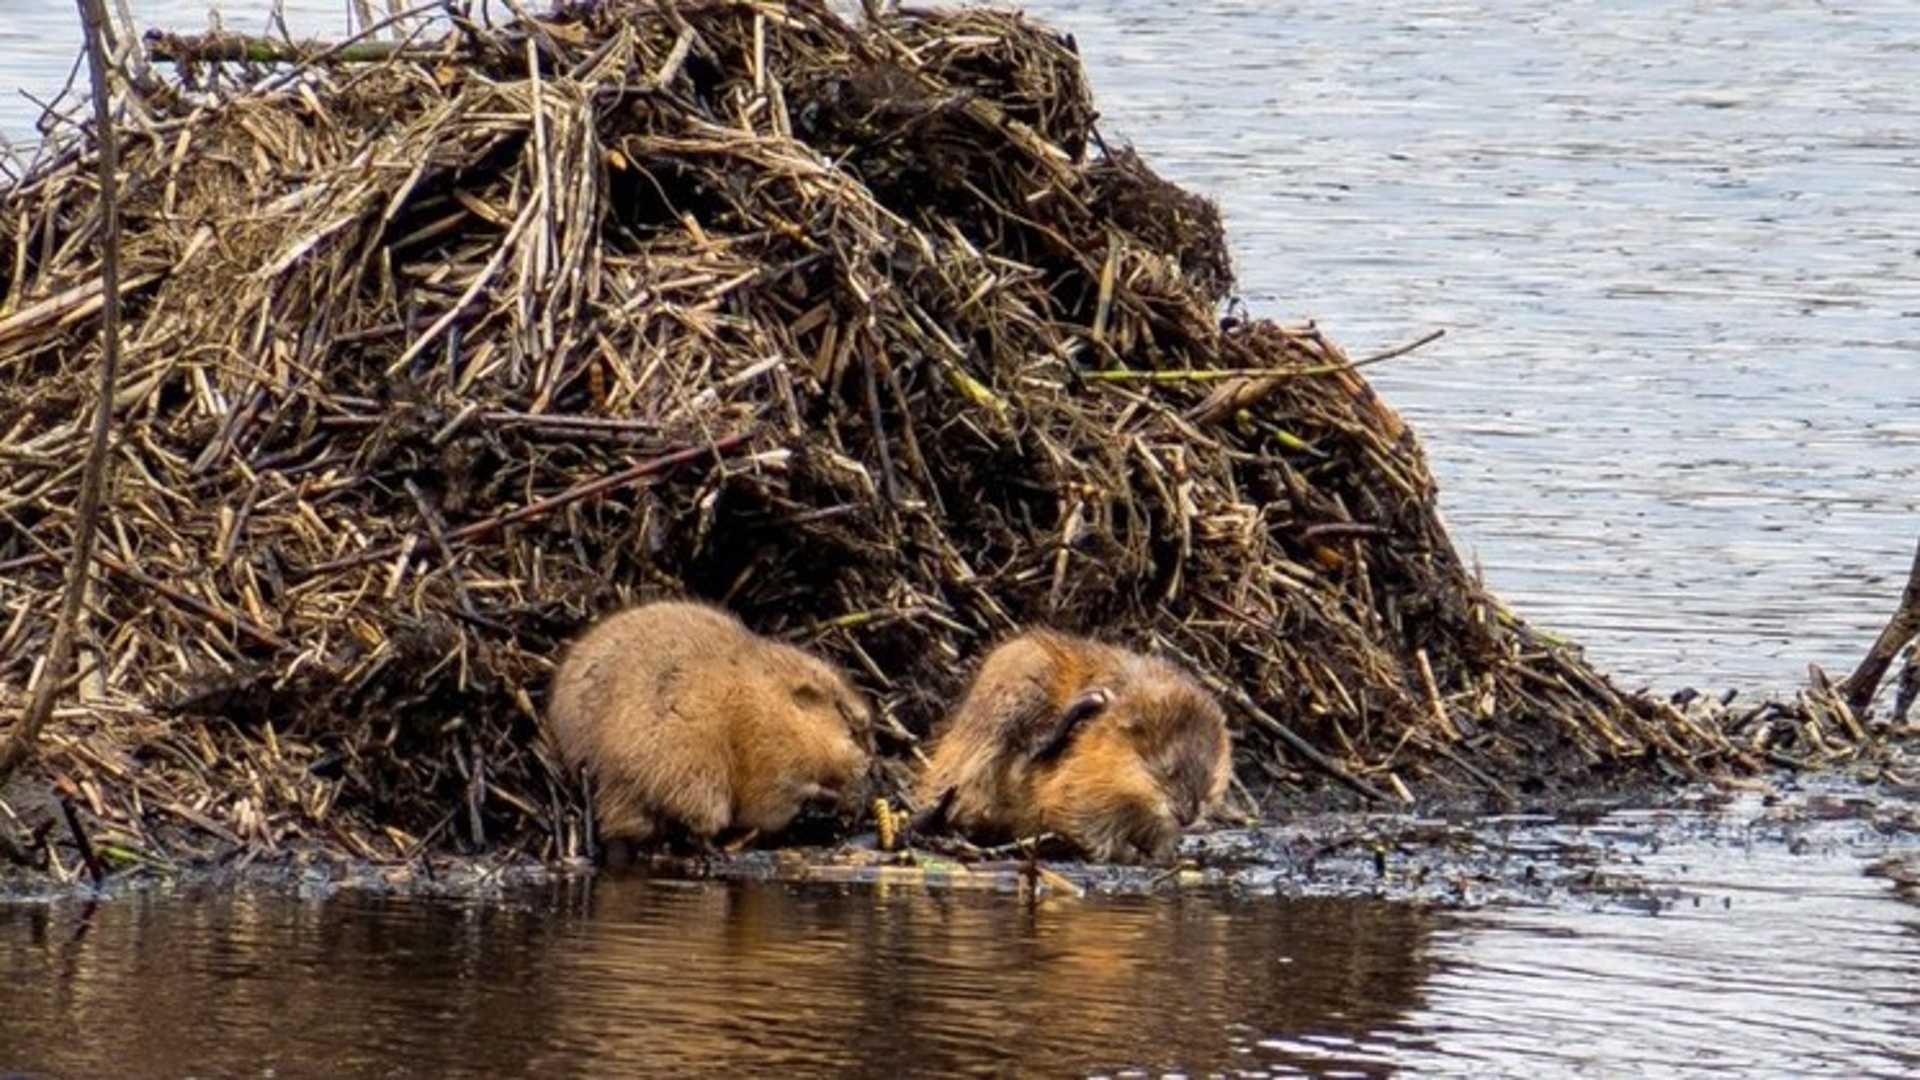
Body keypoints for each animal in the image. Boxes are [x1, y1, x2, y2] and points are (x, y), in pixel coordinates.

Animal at [541, 591, 871, 853]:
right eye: (848, 723)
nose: (868, 765)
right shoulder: (770, 757)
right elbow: (770, 803)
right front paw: (835, 796)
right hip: (691, 767)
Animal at [913, 626, 1228, 860]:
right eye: (1167, 770)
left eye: (1210, 776)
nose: (1187, 816)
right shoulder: (1083, 775)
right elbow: (1078, 815)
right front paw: (1128, 852)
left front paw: (1160, 853)